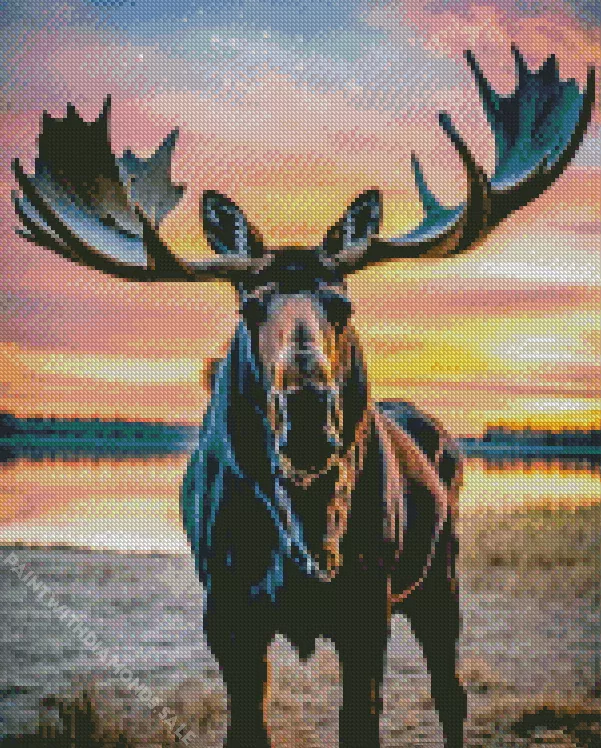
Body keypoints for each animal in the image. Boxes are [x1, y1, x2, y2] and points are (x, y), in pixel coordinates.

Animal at [12, 47, 595, 747]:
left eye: (342, 304)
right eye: (249, 305)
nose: (310, 418)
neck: (309, 533)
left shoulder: (367, 610)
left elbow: (364, 721)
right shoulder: (227, 615)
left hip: (442, 575)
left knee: (451, 694)